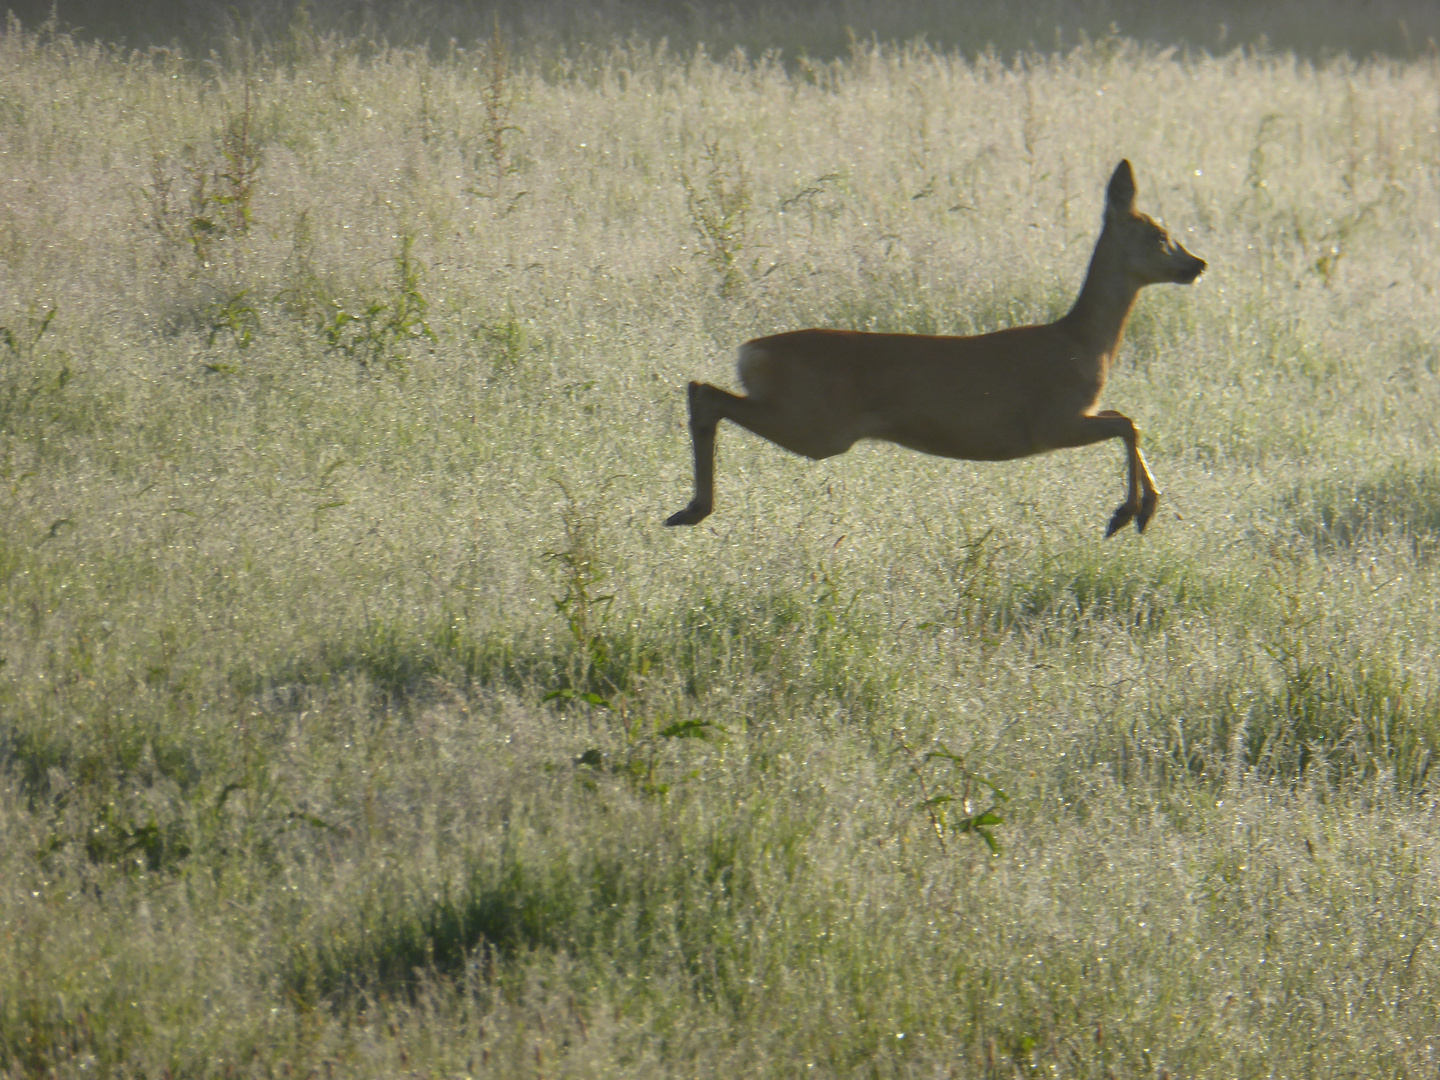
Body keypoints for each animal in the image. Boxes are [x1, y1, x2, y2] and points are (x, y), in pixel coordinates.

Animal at [662, 158, 1203, 538]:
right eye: (1159, 234)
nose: (1196, 263)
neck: (1085, 342)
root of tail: (750, 351)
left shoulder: (1075, 415)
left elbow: (1127, 419)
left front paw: (1136, 510)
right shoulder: (1051, 422)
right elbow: (1129, 423)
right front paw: (1132, 512)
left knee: (700, 389)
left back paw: (686, 510)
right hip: (817, 425)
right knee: (704, 392)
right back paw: (694, 509)